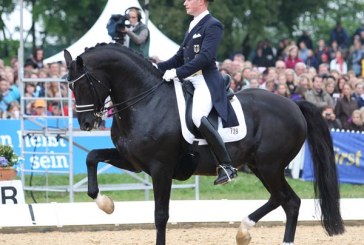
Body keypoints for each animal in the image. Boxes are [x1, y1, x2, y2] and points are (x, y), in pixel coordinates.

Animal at [64, 43, 344, 244]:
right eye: (70, 87)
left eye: (85, 84)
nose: (86, 123)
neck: (145, 101)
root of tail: (293, 105)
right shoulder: (133, 161)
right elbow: (92, 157)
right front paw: (106, 204)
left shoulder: (160, 168)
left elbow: (160, 215)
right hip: (260, 166)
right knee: (284, 200)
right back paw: (244, 231)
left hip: (270, 166)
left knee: (288, 200)